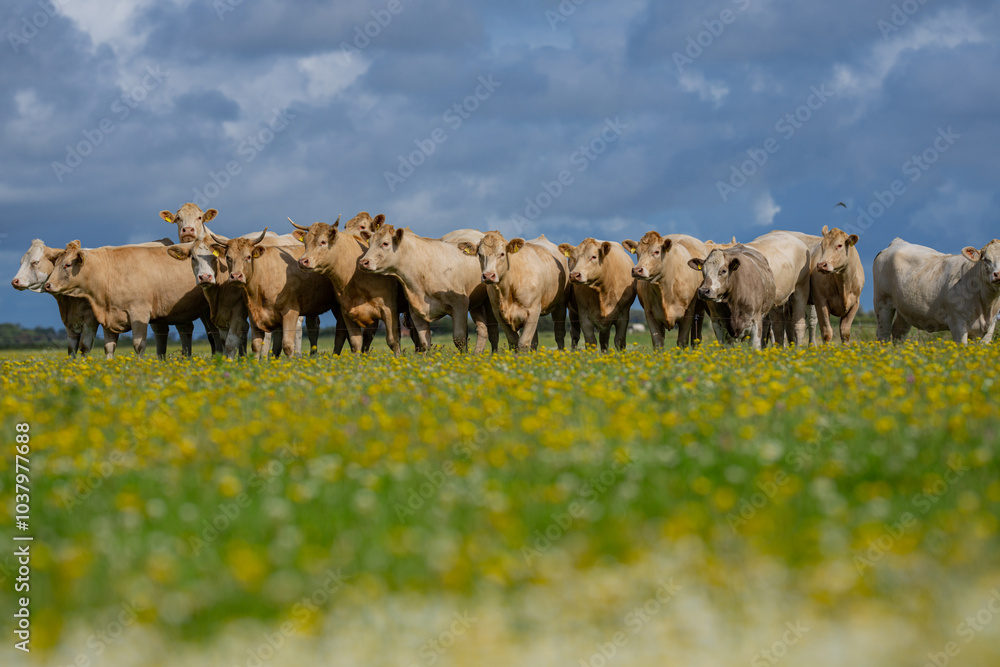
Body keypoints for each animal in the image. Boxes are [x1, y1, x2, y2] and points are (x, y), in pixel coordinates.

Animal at [44, 241, 213, 358]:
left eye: (67, 265)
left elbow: (139, 345)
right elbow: (109, 347)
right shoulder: (108, 316)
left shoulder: (139, 313)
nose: (47, 285)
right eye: (55, 264)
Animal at [209, 230, 338, 358]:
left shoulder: (290, 313)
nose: (236, 276)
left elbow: (287, 345)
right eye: (228, 257)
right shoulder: (253, 315)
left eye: (248, 257)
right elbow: (256, 346)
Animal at [290, 216, 399, 354]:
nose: (302, 261)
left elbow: (392, 340)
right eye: (305, 242)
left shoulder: (388, 309)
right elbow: (355, 342)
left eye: (323, 242)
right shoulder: (346, 311)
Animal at [357, 220, 499, 353]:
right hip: (476, 304)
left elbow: (459, 339)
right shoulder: (416, 310)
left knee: (493, 331)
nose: (363, 262)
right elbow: (424, 342)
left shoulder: (460, 304)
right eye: (369, 243)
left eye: (385, 243)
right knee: (482, 330)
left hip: (489, 303)